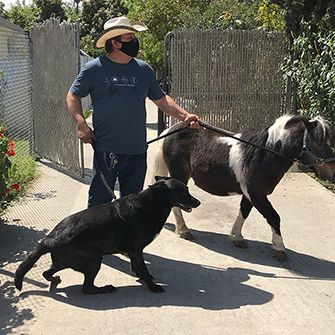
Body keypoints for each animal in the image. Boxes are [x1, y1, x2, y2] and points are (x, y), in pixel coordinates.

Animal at [14, 177, 201, 296]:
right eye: (183, 193)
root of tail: (50, 238)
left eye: (188, 190)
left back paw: (54, 279)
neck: (151, 203)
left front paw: (143, 278)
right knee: (86, 288)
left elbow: (140, 268)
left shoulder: (134, 253)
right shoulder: (136, 251)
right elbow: (144, 269)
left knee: (47, 272)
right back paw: (105, 289)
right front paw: (152, 286)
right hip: (94, 260)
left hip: (63, 261)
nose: (198, 202)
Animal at [154, 114, 335, 262]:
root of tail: (170, 130)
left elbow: (244, 213)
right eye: (319, 142)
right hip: (179, 175)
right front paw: (279, 248)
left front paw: (237, 237)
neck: (264, 153)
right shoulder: (257, 194)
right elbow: (274, 217)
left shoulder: (249, 194)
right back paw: (183, 230)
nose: (332, 172)